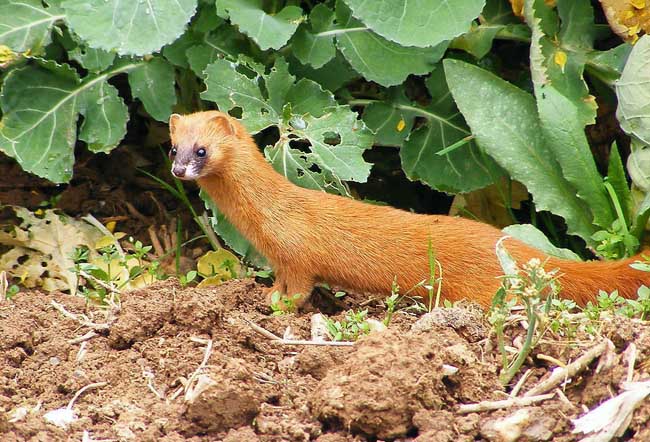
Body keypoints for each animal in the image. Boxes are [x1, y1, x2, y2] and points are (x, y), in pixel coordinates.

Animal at [168, 110, 648, 310]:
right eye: (174, 147)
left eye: (202, 149)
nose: (177, 169)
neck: (266, 219)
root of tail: (516, 247)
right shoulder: (280, 260)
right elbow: (282, 282)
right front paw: (269, 296)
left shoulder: (298, 254)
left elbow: (301, 288)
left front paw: (281, 307)